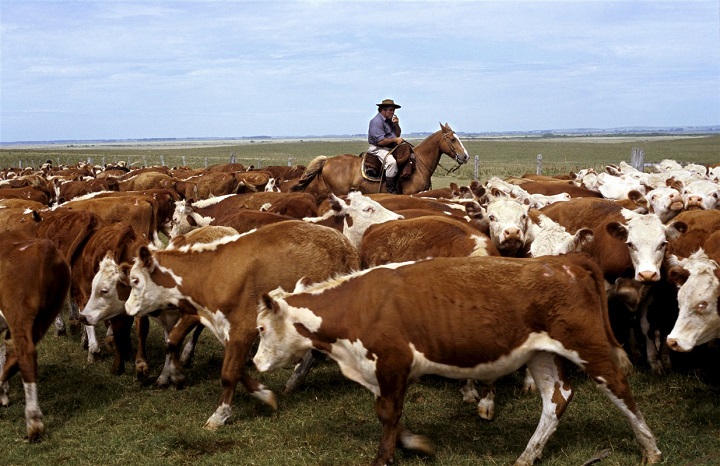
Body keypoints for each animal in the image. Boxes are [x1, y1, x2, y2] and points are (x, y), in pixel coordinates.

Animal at [0, 232, 71, 440]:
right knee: (15, 353)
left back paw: (33, 421)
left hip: (19, 312)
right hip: (45, 314)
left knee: (25, 353)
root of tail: (43, 249)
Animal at [124, 222, 362, 430]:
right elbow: (227, 364)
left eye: (135, 280)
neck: (209, 272)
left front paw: (219, 416)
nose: (126, 308)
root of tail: (345, 243)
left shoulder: (243, 328)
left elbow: (229, 373)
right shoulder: (220, 326)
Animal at [253, 253, 664, 466]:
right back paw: (527, 456)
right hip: (541, 355)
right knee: (556, 399)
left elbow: (387, 415)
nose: (255, 364)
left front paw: (385, 457)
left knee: (620, 390)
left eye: (260, 329)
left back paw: (650, 449)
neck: (359, 305)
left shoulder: (391, 363)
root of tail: (565, 260)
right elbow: (391, 414)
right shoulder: (382, 373)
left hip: (589, 348)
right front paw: (414, 443)